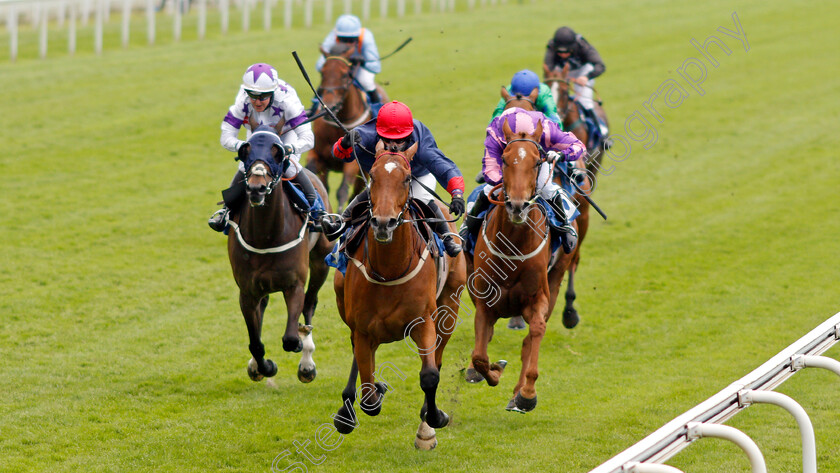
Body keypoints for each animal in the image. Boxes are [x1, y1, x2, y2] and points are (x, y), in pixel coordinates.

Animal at [230, 128, 338, 384]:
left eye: (278, 153)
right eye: (246, 152)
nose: (257, 188)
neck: (266, 236)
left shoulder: (294, 284)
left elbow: (289, 338)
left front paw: (300, 346)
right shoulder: (247, 291)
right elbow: (255, 342)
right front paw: (264, 366)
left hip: (321, 262)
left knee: (310, 303)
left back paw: (306, 360)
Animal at [306, 43, 388, 211]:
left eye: (344, 75)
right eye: (322, 73)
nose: (330, 106)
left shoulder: (352, 164)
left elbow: (342, 190)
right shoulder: (317, 155)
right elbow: (317, 178)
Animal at [332, 141, 470, 450]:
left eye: (406, 179)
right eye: (371, 176)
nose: (383, 223)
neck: (389, 270)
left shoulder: (424, 321)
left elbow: (429, 375)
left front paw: (434, 420)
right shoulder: (363, 328)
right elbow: (369, 396)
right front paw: (372, 391)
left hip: (451, 305)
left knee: (438, 357)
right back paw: (347, 410)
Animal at [466, 120, 576, 412]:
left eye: (538, 162)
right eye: (505, 159)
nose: (517, 205)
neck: (512, 247)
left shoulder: (538, 298)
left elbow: (535, 332)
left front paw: (527, 394)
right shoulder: (485, 302)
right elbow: (480, 354)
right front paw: (493, 370)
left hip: (557, 276)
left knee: (530, 338)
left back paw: (519, 393)